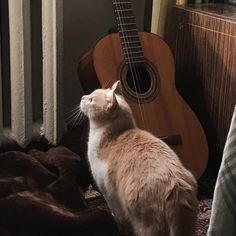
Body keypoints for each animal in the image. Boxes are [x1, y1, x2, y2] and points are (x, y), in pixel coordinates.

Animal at [80, 80, 198, 236]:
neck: (116, 132)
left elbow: (119, 218)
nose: (82, 97)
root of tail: (176, 186)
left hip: (146, 224)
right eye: (89, 95)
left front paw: (121, 229)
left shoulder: (108, 192)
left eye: (91, 99)